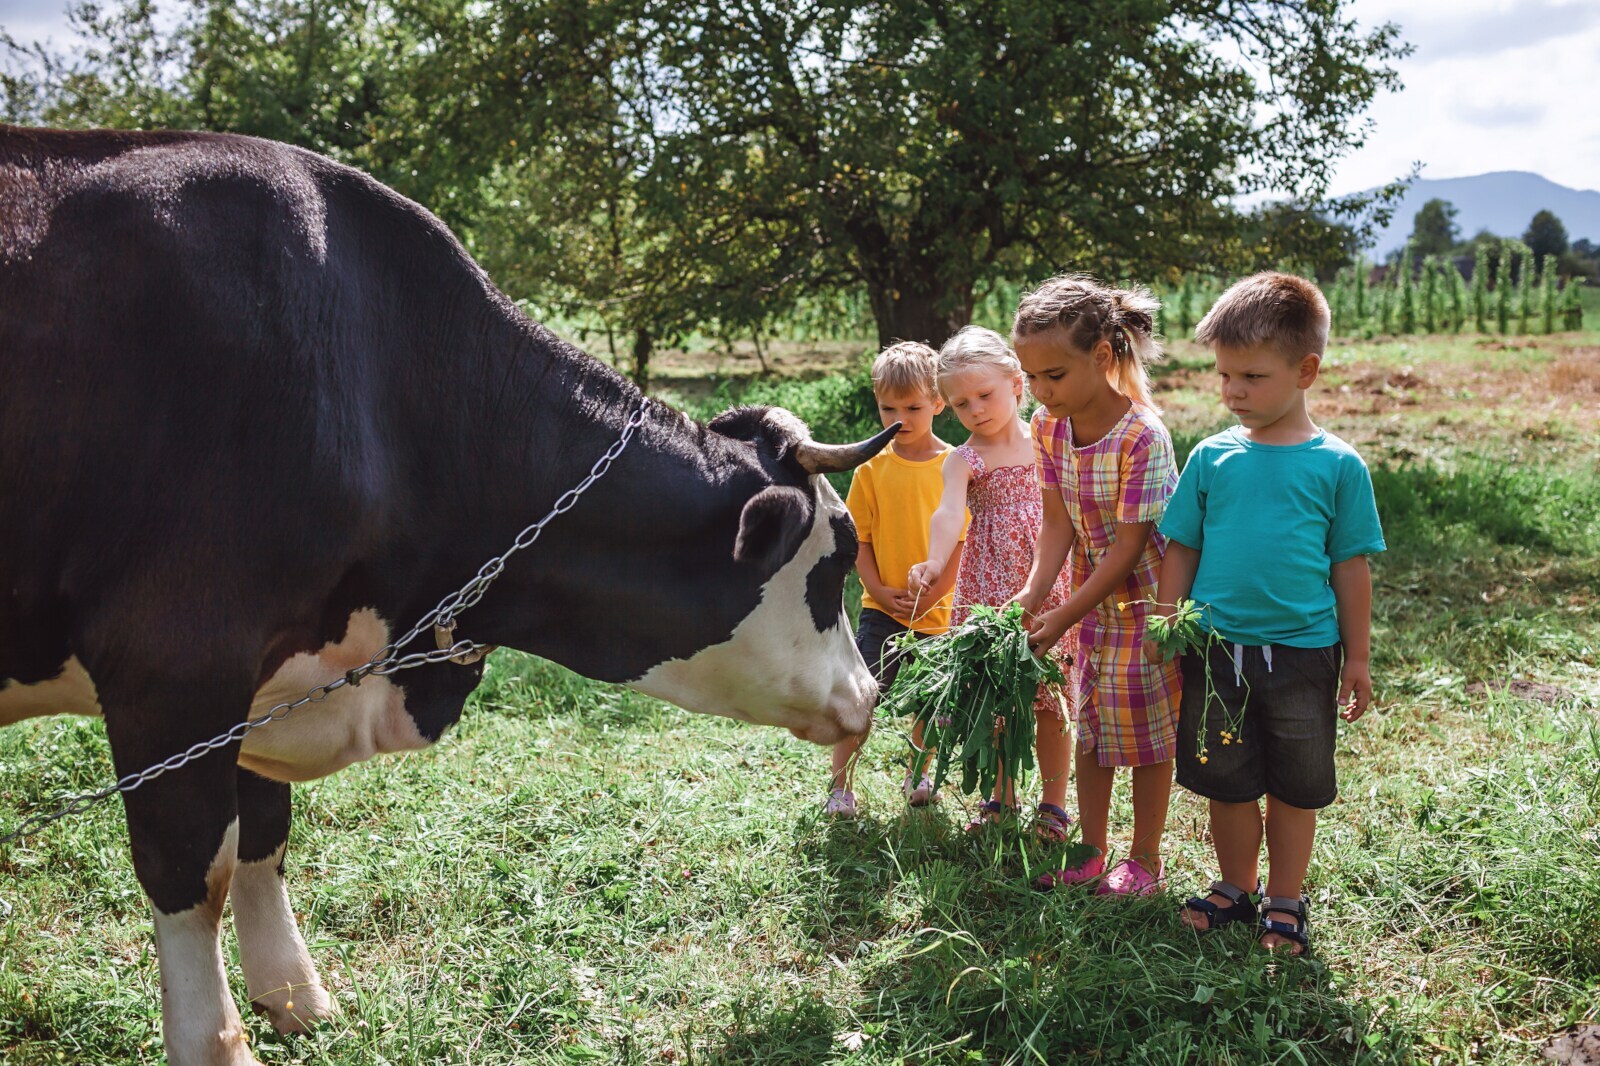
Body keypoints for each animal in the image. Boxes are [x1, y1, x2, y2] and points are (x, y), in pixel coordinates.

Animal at [0, 125, 893, 1066]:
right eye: (836, 559)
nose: (869, 693)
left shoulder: (265, 688)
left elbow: (265, 834)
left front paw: (297, 998)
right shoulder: (175, 665)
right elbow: (191, 874)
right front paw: (221, 1042)